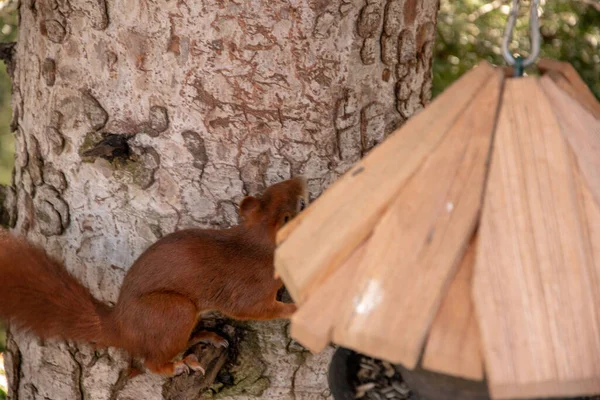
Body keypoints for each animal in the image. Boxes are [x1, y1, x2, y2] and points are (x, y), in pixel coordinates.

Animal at [0, 178, 310, 378]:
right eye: (300, 204)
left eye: (274, 189)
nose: (300, 179)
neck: (257, 241)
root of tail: (120, 327)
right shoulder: (250, 289)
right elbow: (255, 310)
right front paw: (297, 308)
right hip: (173, 312)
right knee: (152, 361)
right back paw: (178, 365)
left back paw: (204, 335)